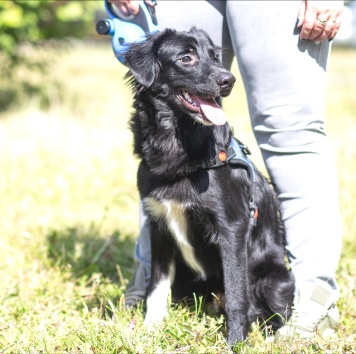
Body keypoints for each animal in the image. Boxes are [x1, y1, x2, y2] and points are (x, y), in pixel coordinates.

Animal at [123, 28, 294, 346]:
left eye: (215, 57)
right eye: (186, 58)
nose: (229, 80)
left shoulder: (233, 227)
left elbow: (238, 294)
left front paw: (236, 342)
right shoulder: (158, 226)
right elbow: (156, 288)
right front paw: (150, 331)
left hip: (273, 278)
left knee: (275, 310)